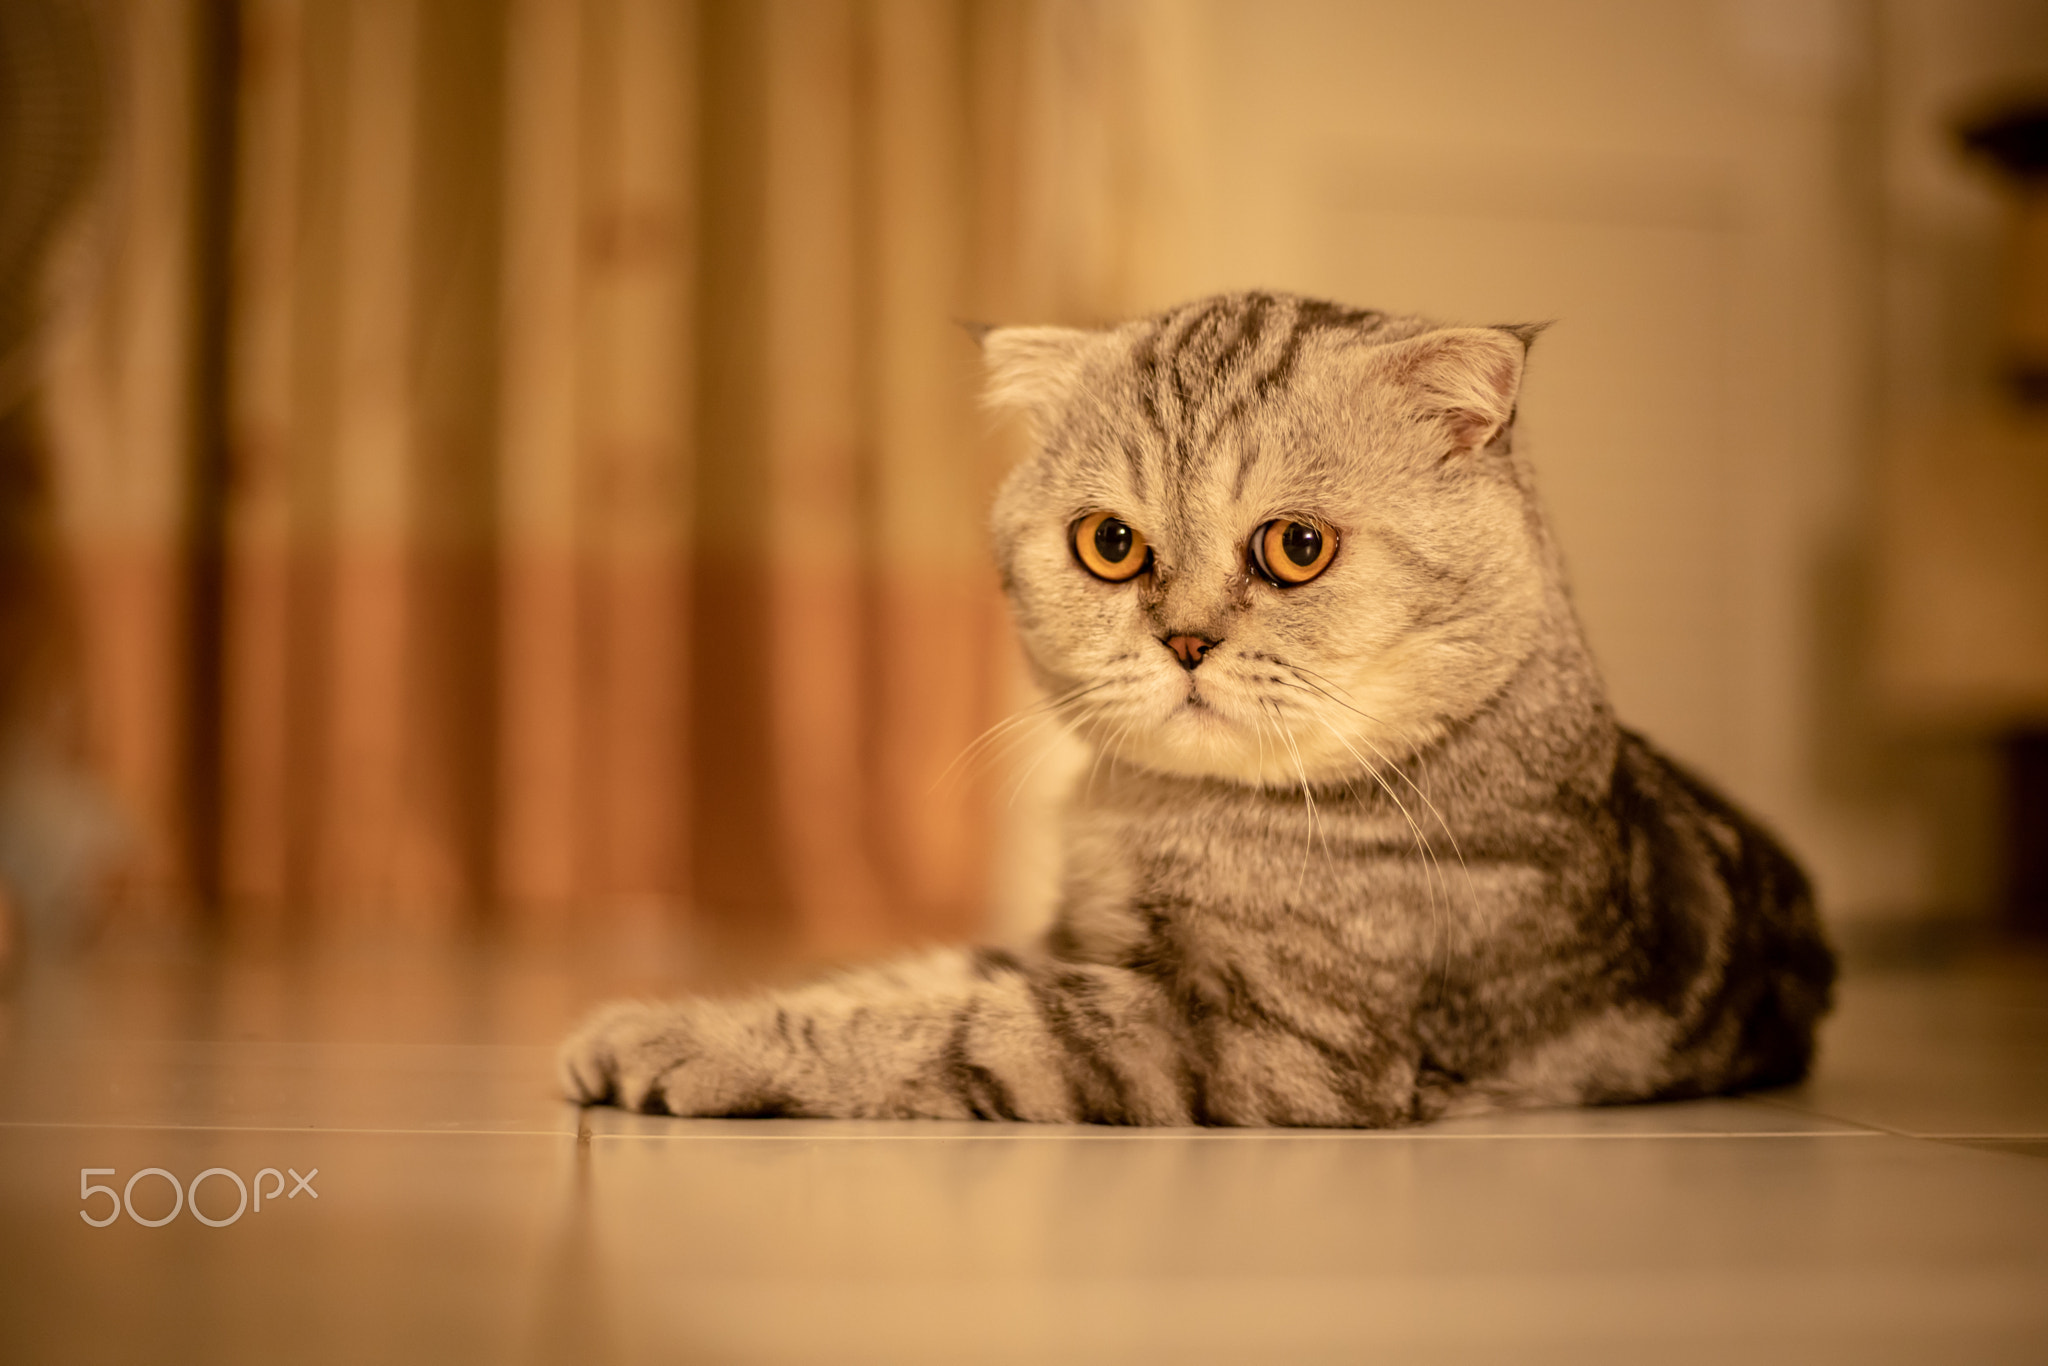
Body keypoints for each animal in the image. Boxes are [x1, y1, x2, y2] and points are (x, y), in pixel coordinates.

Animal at [557, 290, 1843, 1130]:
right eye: (1108, 544)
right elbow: (889, 976)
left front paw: (696, 1041)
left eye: (1296, 547)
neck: (1153, 811)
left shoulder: (1240, 1041)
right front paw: (640, 1017)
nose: (1181, 639)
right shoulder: (1062, 942)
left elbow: (938, 1027)